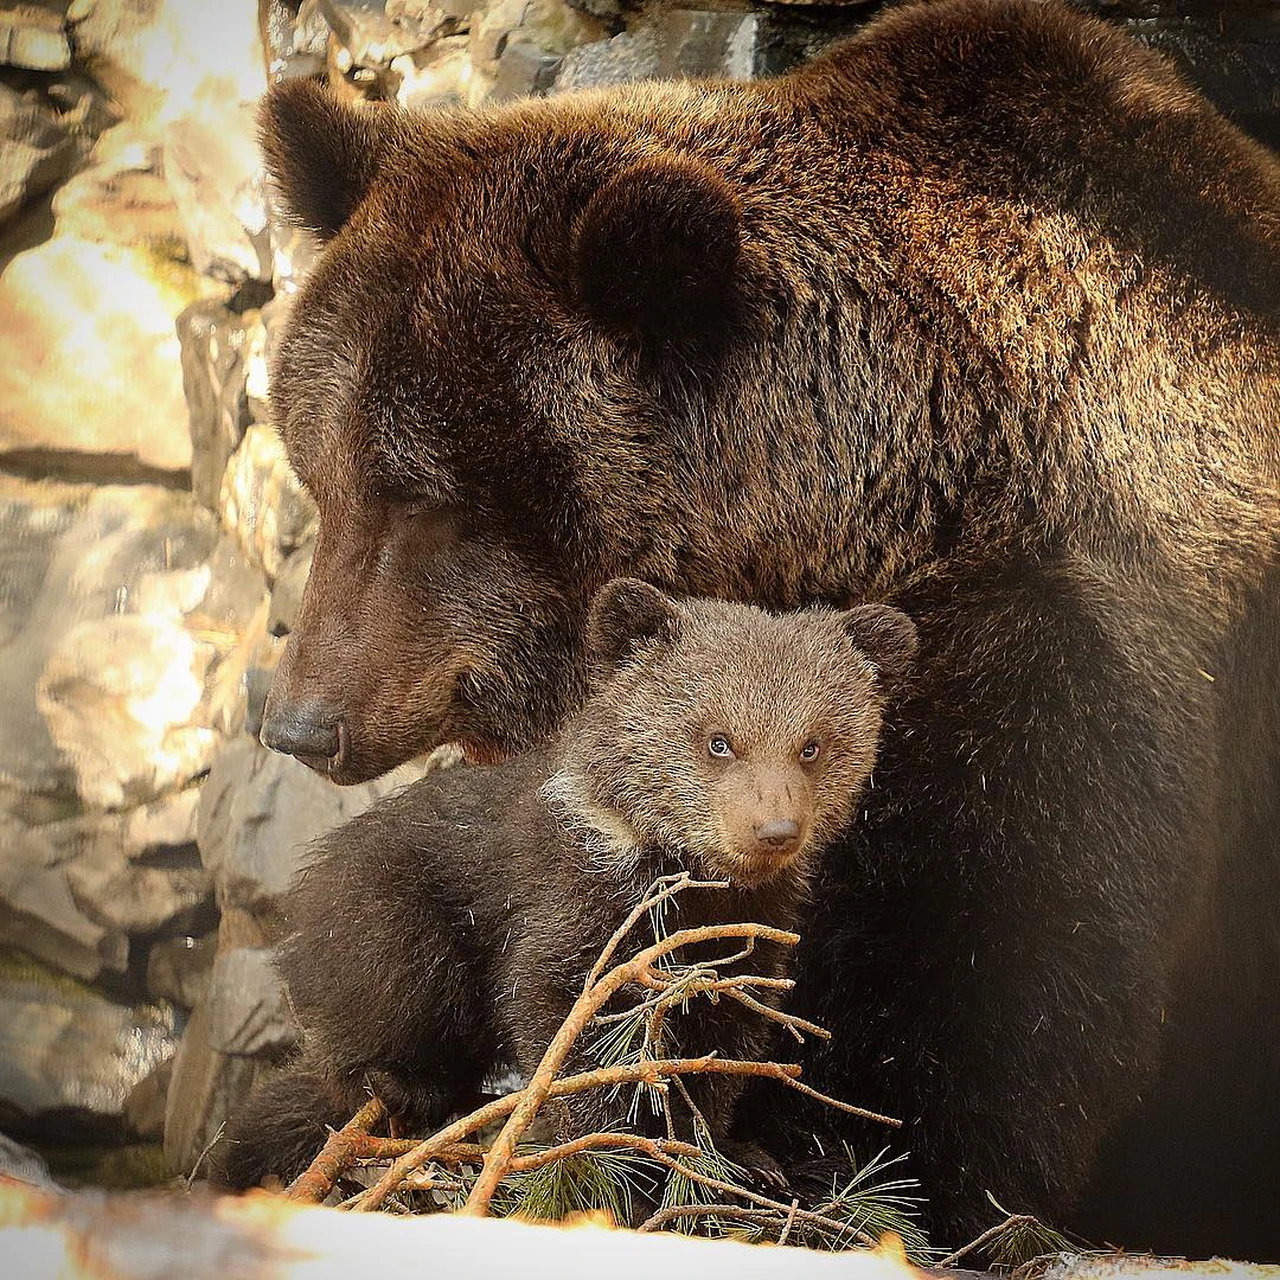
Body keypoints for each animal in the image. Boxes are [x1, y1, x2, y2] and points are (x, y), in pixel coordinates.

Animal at [254, 0, 1274, 1259]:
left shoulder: (1078, 648)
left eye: (424, 496)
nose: (303, 722)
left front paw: (841, 1161)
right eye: (321, 470)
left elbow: (976, 970)